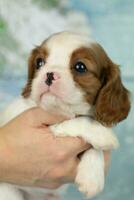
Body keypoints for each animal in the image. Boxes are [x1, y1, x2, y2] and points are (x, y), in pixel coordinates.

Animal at [0, 32, 130, 199]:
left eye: (80, 67)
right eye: (39, 63)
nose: (49, 74)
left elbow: (94, 147)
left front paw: (92, 177)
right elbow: (76, 121)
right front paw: (104, 134)